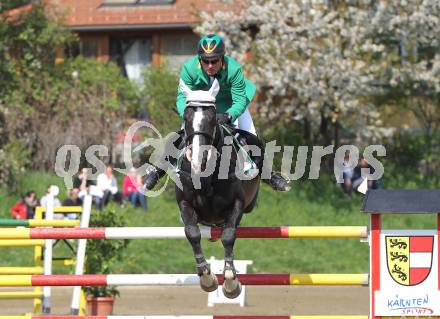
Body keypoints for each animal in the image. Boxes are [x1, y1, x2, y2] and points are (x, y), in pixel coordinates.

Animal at [174, 79, 260, 298]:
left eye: (212, 118)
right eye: (186, 117)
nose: (198, 160)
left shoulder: (236, 204)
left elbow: (228, 236)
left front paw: (230, 281)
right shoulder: (185, 203)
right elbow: (192, 233)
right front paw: (206, 278)